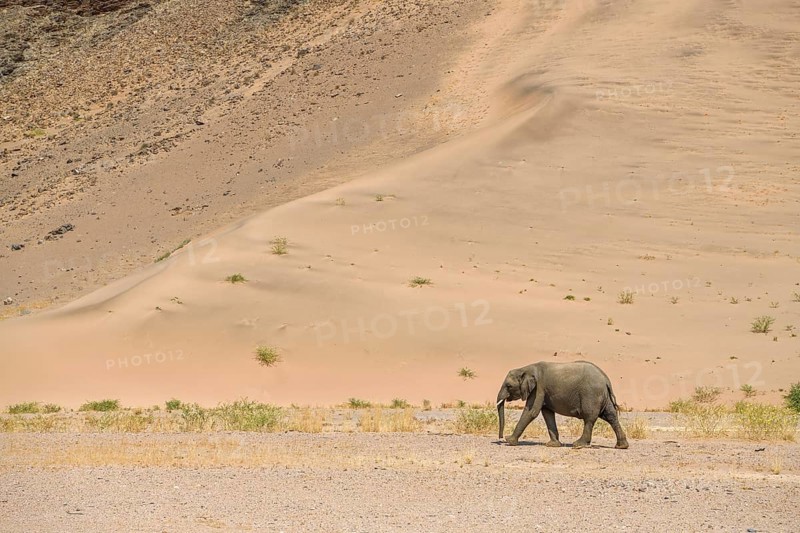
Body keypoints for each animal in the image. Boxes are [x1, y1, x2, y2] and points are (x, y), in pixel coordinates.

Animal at [496, 360, 629, 449]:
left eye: (509, 386)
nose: (500, 438)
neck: (525, 368)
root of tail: (606, 379)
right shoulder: (543, 391)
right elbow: (547, 414)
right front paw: (553, 445)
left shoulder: (539, 388)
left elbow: (531, 412)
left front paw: (509, 441)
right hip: (602, 396)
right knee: (611, 416)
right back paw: (621, 446)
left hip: (591, 394)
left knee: (589, 418)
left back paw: (578, 445)